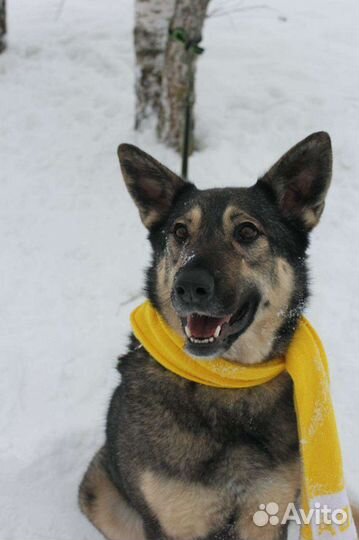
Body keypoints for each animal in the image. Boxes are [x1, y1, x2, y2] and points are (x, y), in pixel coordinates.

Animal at [79, 132, 340, 540]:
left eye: (247, 231)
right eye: (180, 232)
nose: (188, 287)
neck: (226, 385)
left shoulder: (267, 516)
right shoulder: (171, 523)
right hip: (97, 490)